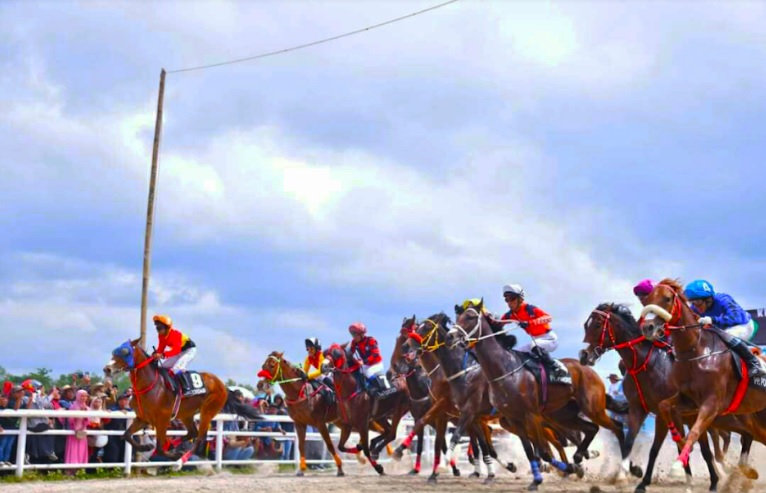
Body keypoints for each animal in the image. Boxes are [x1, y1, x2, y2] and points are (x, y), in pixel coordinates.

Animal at [105, 336, 262, 464]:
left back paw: (180, 460)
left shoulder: (162, 419)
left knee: (199, 438)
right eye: (113, 352)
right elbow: (126, 435)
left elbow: (160, 448)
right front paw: (146, 446)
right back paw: (173, 445)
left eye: (125, 352)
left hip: (207, 411)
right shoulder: (143, 418)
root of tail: (222, 385)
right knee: (193, 433)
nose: (107, 369)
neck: (150, 386)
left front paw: (172, 454)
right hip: (186, 414)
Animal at [322, 342, 412, 472]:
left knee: (392, 434)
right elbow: (341, 447)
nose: (323, 367)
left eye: (337, 354)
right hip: (380, 416)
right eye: (324, 353)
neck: (350, 390)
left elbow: (365, 449)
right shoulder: (347, 425)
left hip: (398, 410)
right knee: (387, 430)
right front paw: (359, 450)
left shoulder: (362, 424)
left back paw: (377, 450)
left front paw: (378, 468)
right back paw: (374, 445)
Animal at [448, 302, 632, 490]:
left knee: (616, 428)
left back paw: (620, 471)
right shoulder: (513, 418)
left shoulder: (530, 415)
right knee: (591, 429)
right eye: (457, 318)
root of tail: (587, 368)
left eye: (470, 317)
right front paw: (539, 478)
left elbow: (543, 451)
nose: (450, 336)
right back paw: (580, 457)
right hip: (562, 415)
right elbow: (529, 451)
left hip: (592, 408)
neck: (505, 369)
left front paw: (562, 470)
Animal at [584, 302, 760, 490]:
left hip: (726, 417)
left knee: (740, 436)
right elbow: (633, 442)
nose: (584, 354)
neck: (648, 365)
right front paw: (632, 476)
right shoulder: (640, 409)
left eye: (597, 325)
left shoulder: (673, 414)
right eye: (586, 325)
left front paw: (693, 478)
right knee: (735, 438)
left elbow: (679, 447)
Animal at [644, 280, 766, 476]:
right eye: (647, 299)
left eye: (667, 298)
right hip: (750, 415)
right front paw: (681, 442)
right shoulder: (688, 399)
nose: (647, 327)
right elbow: (664, 406)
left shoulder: (712, 403)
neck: (696, 350)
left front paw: (678, 465)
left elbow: (695, 431)